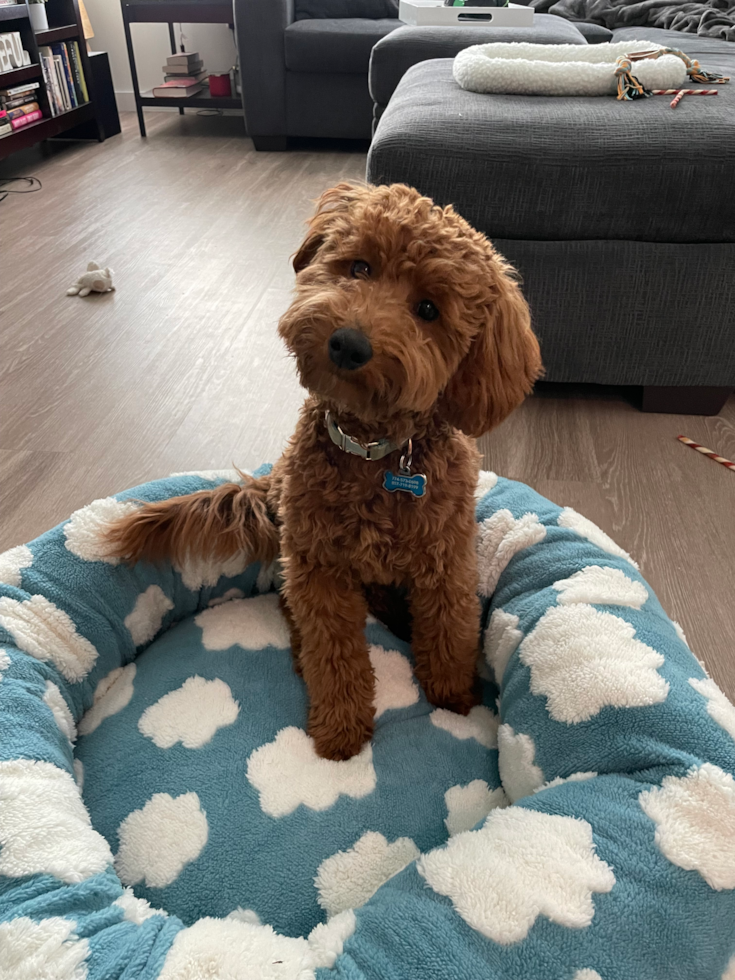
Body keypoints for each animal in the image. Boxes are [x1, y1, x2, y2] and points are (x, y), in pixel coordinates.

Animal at [102, 182, 540, 756]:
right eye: (360, 267)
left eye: (428, 309)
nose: (348, 343)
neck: (371, 449)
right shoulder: (319, 567)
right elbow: (334, 650)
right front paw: (340, 731)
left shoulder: (447, 561)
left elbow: (450, 630)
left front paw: (453, 699)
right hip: (295, 554)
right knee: (296, 613)